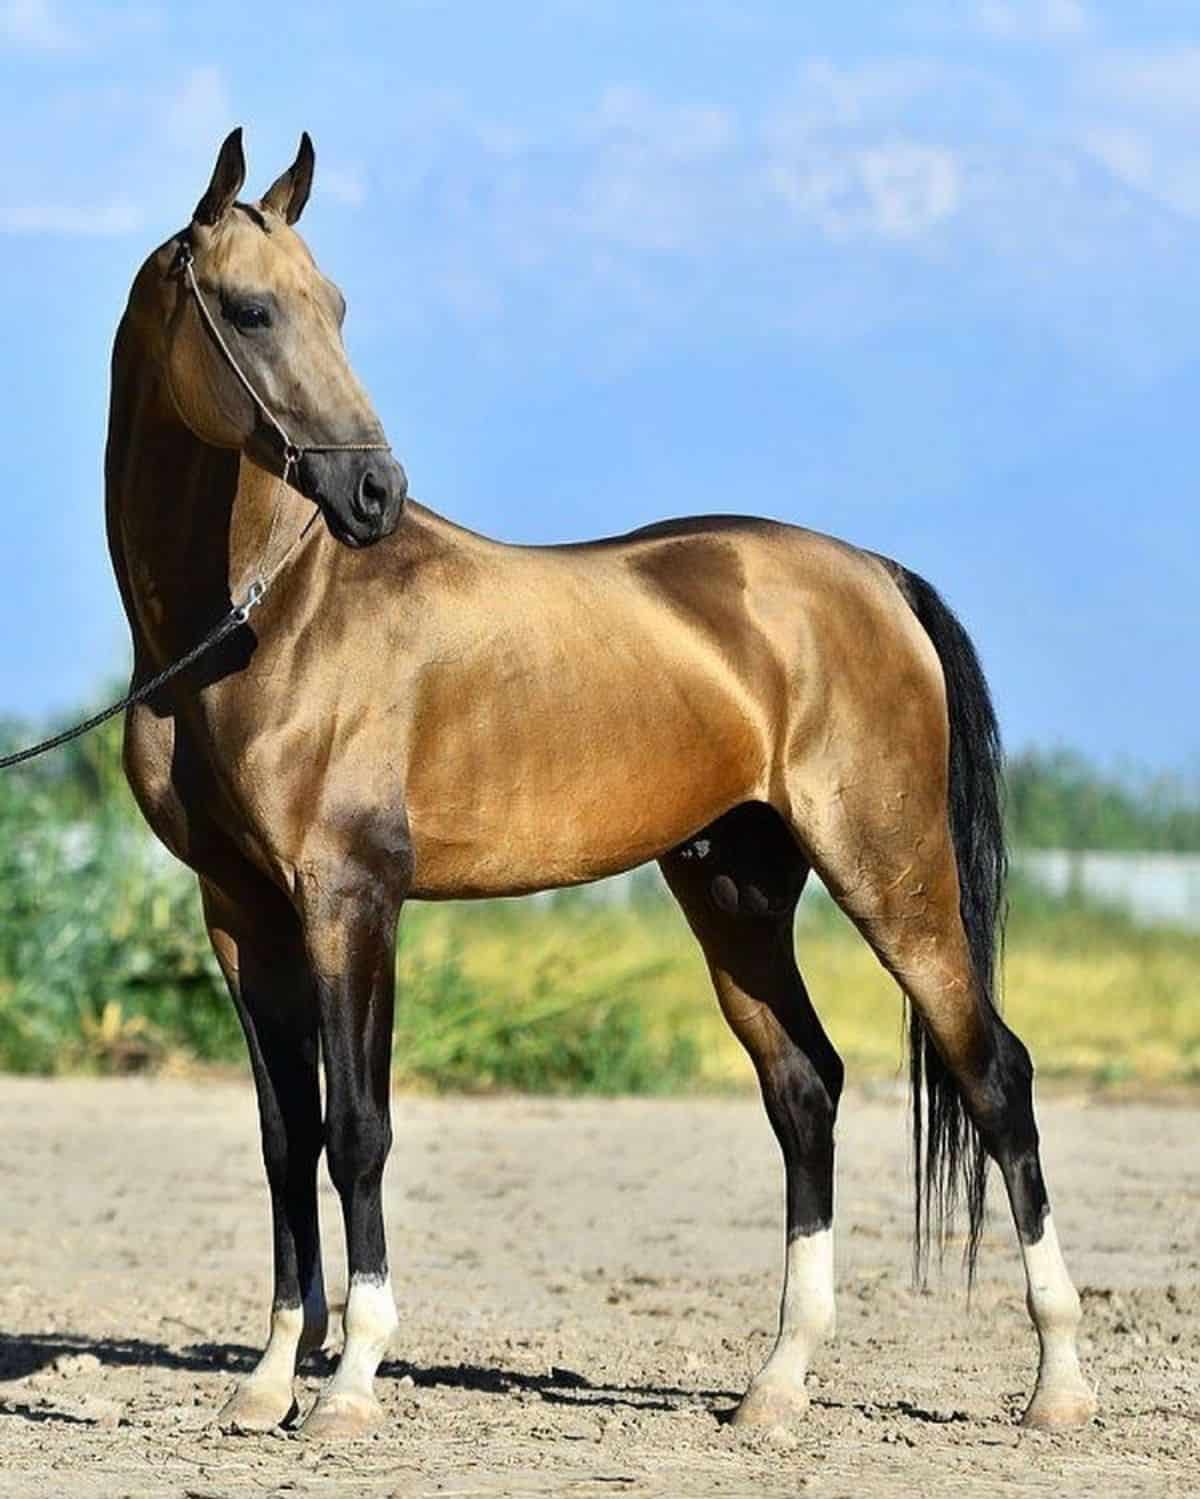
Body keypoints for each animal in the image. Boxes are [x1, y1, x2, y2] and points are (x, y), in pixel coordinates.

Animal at [107, 128, 1090, 1439]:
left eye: (338, 306)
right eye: (254, 310)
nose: (374, 493)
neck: (258, 621)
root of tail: (876, 575)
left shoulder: (351, 897)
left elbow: (359, 1128)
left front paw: (353, 1379)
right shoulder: (242, 910)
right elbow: (286, 1135)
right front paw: (269, 1379)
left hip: (892, 871)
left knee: (994, 1073)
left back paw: (1059, 1380)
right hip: (734, 889)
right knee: (807, 1087)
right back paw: (777, 1381)